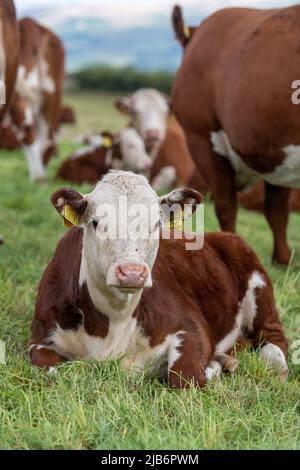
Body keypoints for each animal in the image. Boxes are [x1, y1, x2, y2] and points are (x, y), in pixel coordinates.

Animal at [29, 171, 288, 388]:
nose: (132, 272)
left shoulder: (191, 326)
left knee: (274, 341)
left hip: (259, 290)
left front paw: (208, 368)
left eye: (156, 224)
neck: (112, 322)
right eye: (95, 222)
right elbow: (50, 370)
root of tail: (223, 235)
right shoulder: (40, 337)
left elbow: (185, 377)